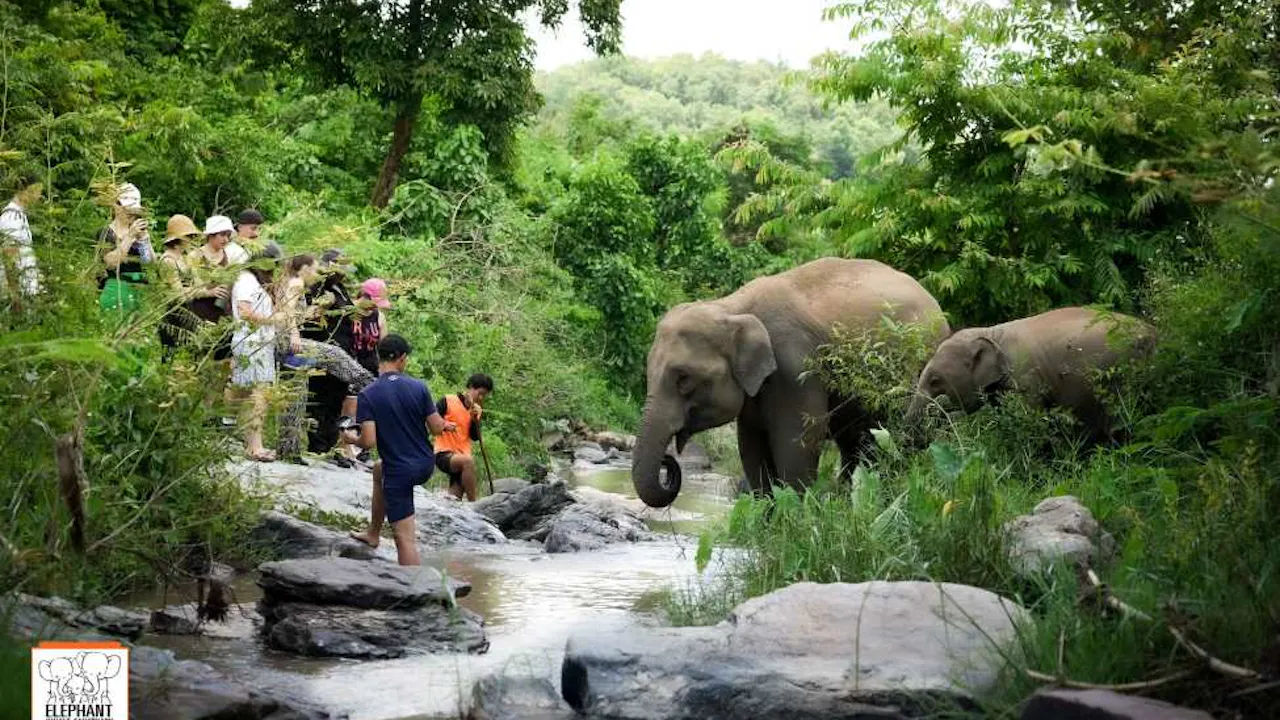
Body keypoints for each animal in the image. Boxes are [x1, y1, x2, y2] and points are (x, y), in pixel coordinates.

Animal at [632, 257, 950, 508]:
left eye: (683, 379)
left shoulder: (795, 369)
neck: (731, 306)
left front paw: (794, 517)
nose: (668, 463)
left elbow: (798, 441)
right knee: (856, 442)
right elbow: (751, 445)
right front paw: (767, 519)